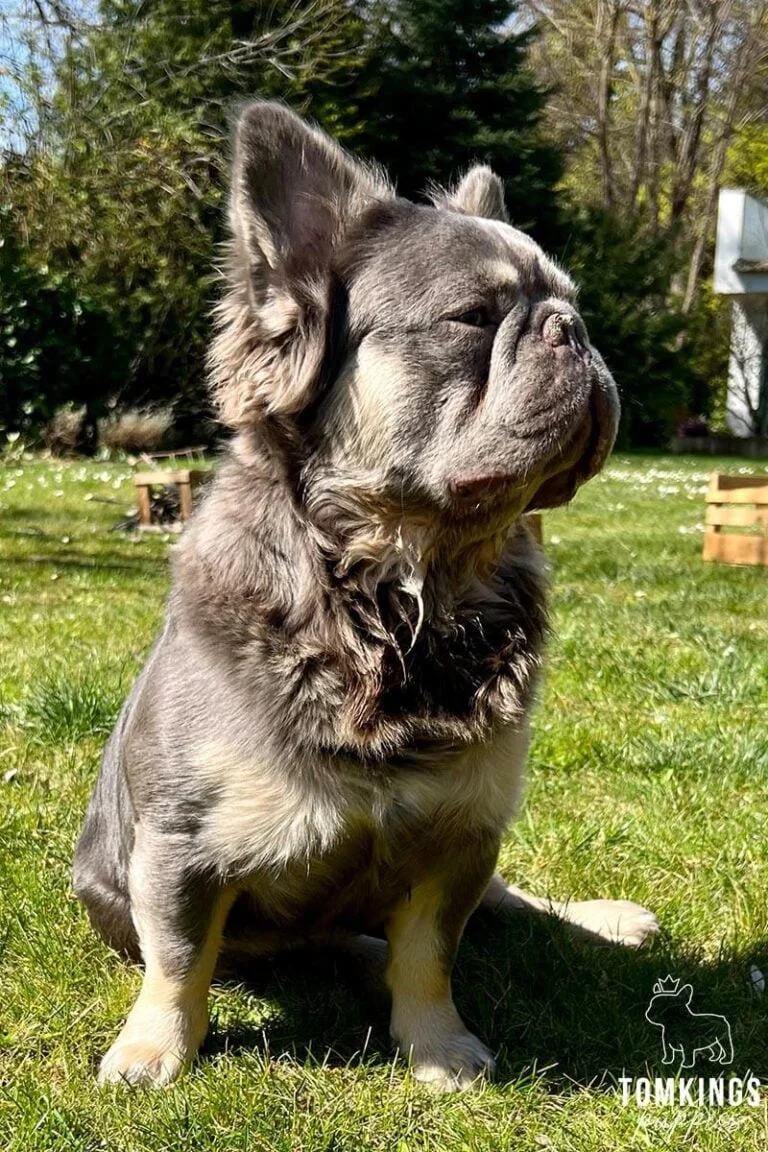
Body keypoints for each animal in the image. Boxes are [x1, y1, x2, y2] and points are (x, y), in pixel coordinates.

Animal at [71, 99, 658, 1087]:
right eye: (471, 319)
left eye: (574, 309)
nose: (571, 331)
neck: (406, 596)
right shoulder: (180, 852)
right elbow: (179, 963)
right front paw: (153, 1052)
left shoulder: (460, 838)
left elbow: (432, 954)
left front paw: (441, 1048)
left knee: (514, 903)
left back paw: (606, 920)